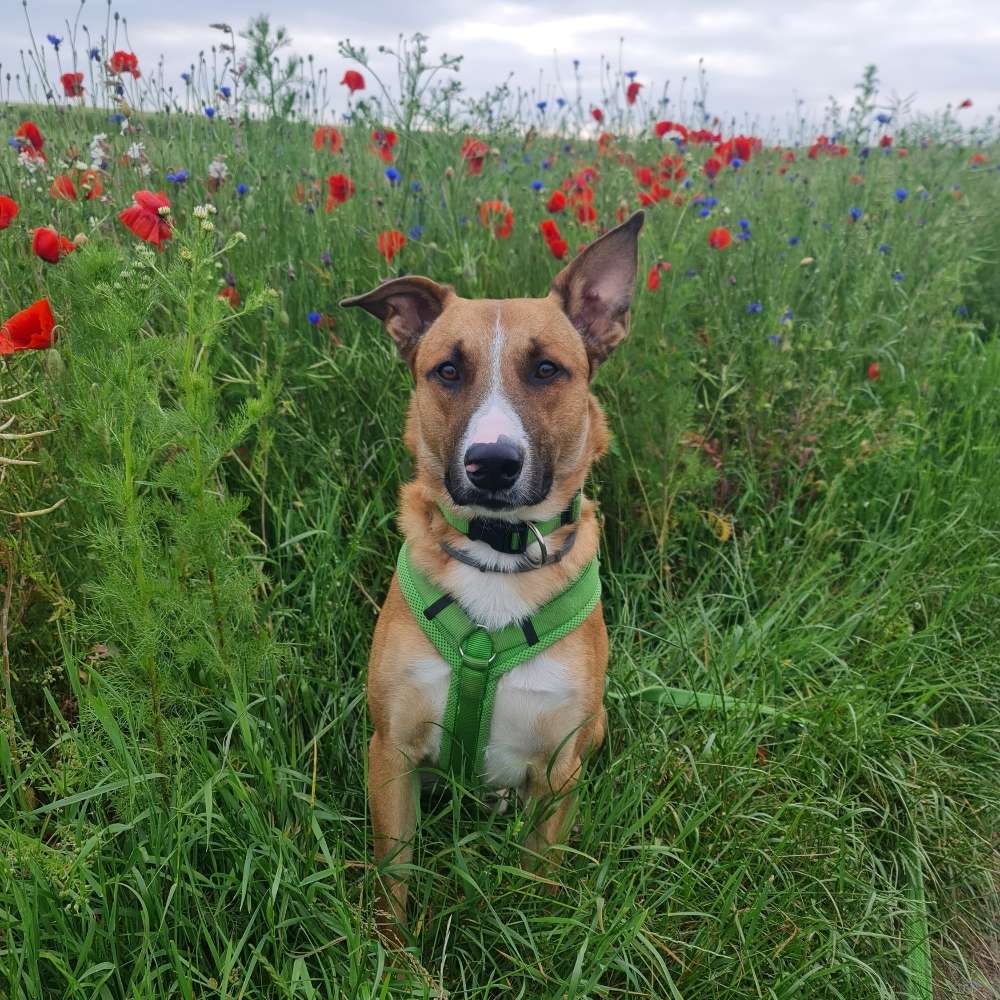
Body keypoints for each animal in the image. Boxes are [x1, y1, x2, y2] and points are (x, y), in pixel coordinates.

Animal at [340, 211, 644, 928]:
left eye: (546, 369)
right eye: (448, 370)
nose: (492, 464)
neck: (499, 560)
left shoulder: (559, 767)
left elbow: (537, 876)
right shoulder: (390, 750)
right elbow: (394, 878)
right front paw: (390, 947)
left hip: (595, 725)